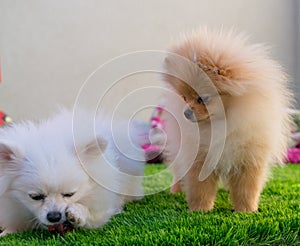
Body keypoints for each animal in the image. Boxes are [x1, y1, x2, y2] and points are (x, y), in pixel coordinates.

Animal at [0, 108, 146, 235]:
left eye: (70, 194)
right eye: (35, 197)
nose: (54, 216)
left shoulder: (101, 207)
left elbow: (92, 214)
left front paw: (78, 212)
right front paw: (7, 232)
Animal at [163, 27, 292, 212]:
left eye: (202, 99)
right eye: (184, 97)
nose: (186, 113)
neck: (224, 124)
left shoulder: (249, 159)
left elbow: (246, 189)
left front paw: (246, 210)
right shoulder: (200, 158)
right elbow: (200, 189)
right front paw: (200, 210)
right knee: (178, 171)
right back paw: (176, 190)